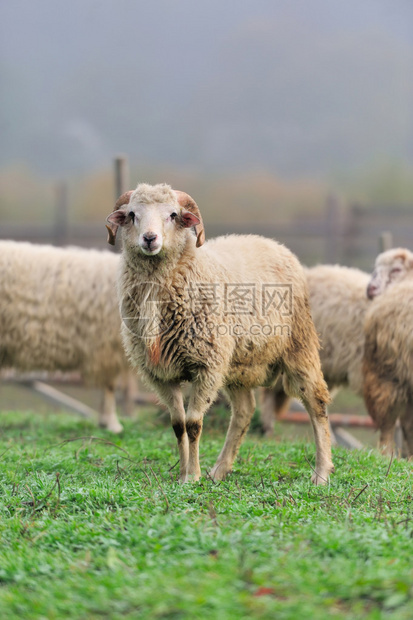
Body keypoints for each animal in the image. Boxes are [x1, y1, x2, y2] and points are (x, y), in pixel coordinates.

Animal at [105, 183, 332, 484]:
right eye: (132, 214)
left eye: (173, 214)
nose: (150, 239)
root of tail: (273, 243)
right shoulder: (160, 374)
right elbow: (177, 424)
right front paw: (183, 473)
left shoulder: (206, 366)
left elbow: (193, 424)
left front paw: (192, 476)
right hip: (236, 363)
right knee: (245, 410)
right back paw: (220, 470)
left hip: (299, 345)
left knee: (316, 401)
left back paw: (322, 473)